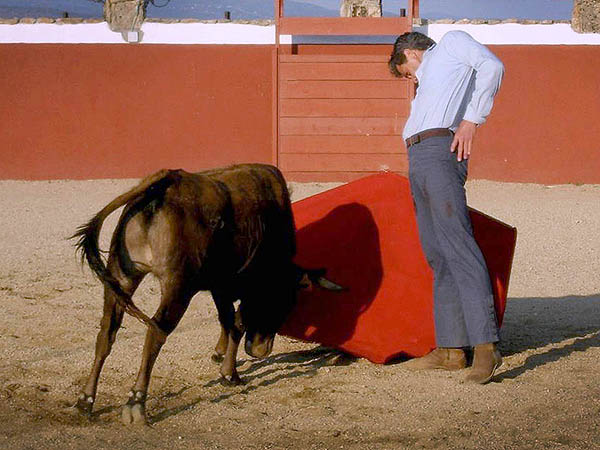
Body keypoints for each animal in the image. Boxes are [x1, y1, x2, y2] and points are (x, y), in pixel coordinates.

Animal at [71, 164, 338, 426]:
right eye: (283, 302)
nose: (261, 350)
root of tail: (165, 181)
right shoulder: (238, 286)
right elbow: (237, 324)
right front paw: (230, 374)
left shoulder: (221, 286)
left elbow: (226, 319)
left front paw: (220, 355)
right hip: (177, 288)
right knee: (155, 333)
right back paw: (136, 402)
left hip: (121, 275)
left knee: (107, 333)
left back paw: (86, 400)